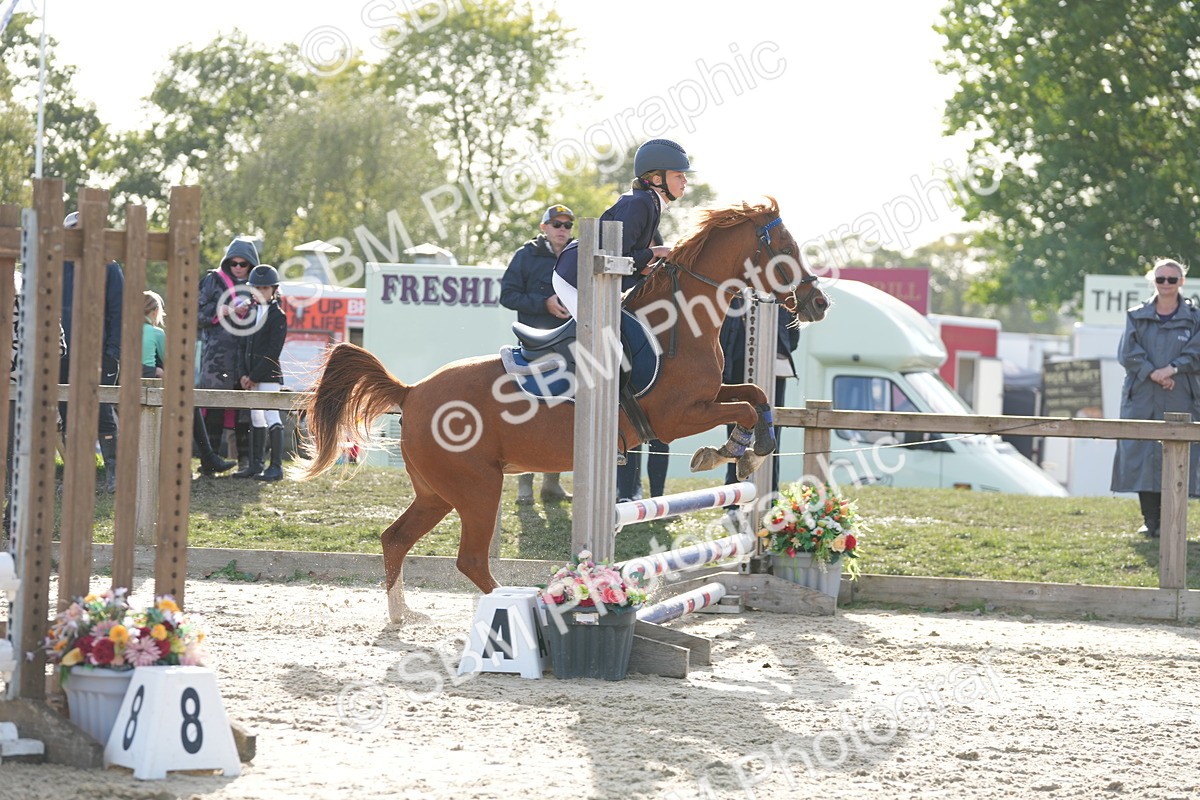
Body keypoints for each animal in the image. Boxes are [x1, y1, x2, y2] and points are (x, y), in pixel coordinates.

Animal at [302, 198, 829, 621]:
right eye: (785, 246)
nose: (818, 302)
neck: (680, 320)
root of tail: (411, 392)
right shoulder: (676, 417)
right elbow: (744, 408)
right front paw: (739, 451)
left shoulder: (708, 395)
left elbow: (755, 396)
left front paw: (744, 451)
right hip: (477, 488)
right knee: (469, 559)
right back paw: (529, 609)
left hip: (438, 492)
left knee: (395, 539)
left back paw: (402, 615)